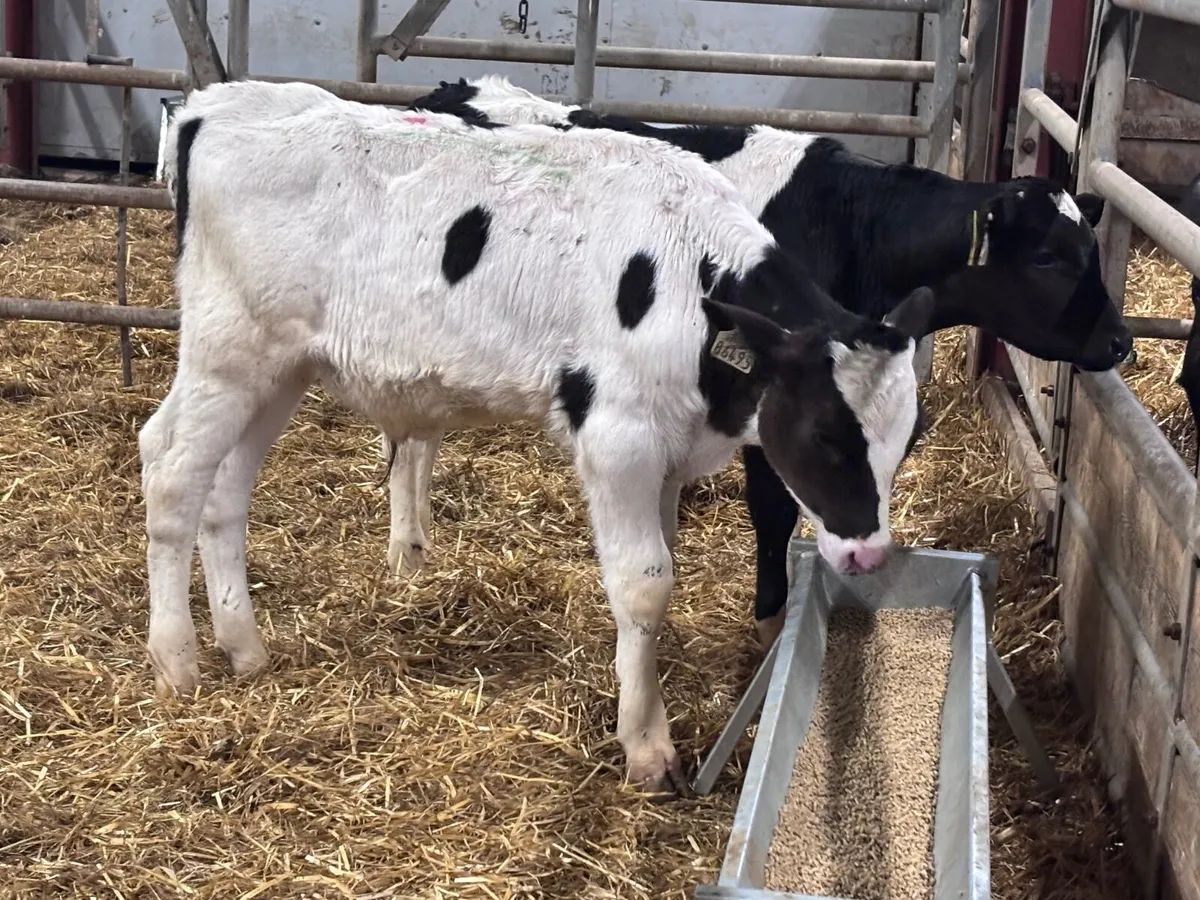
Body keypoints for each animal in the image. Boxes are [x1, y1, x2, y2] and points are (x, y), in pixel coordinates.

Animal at [143, 78, 934, 794]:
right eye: (826, 435)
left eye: (906, 442)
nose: (868, 554)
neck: (691, 271)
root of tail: (214, 105)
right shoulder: (618, 437)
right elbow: (645, 583)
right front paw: (648, 745)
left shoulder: (667, 452)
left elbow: (659, 566)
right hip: (228, 353)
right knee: (171, 470)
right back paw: (177, 663)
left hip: (279, 370)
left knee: (225, 492)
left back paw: (244, 647)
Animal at [391, 75, 1134, 649]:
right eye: (1048, 257)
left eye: (1090, 248)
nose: (1120, 342)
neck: (850, 222)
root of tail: (452, 89)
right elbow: (774, 508)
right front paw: (771, 620)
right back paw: (406, 550)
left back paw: (416, 547)